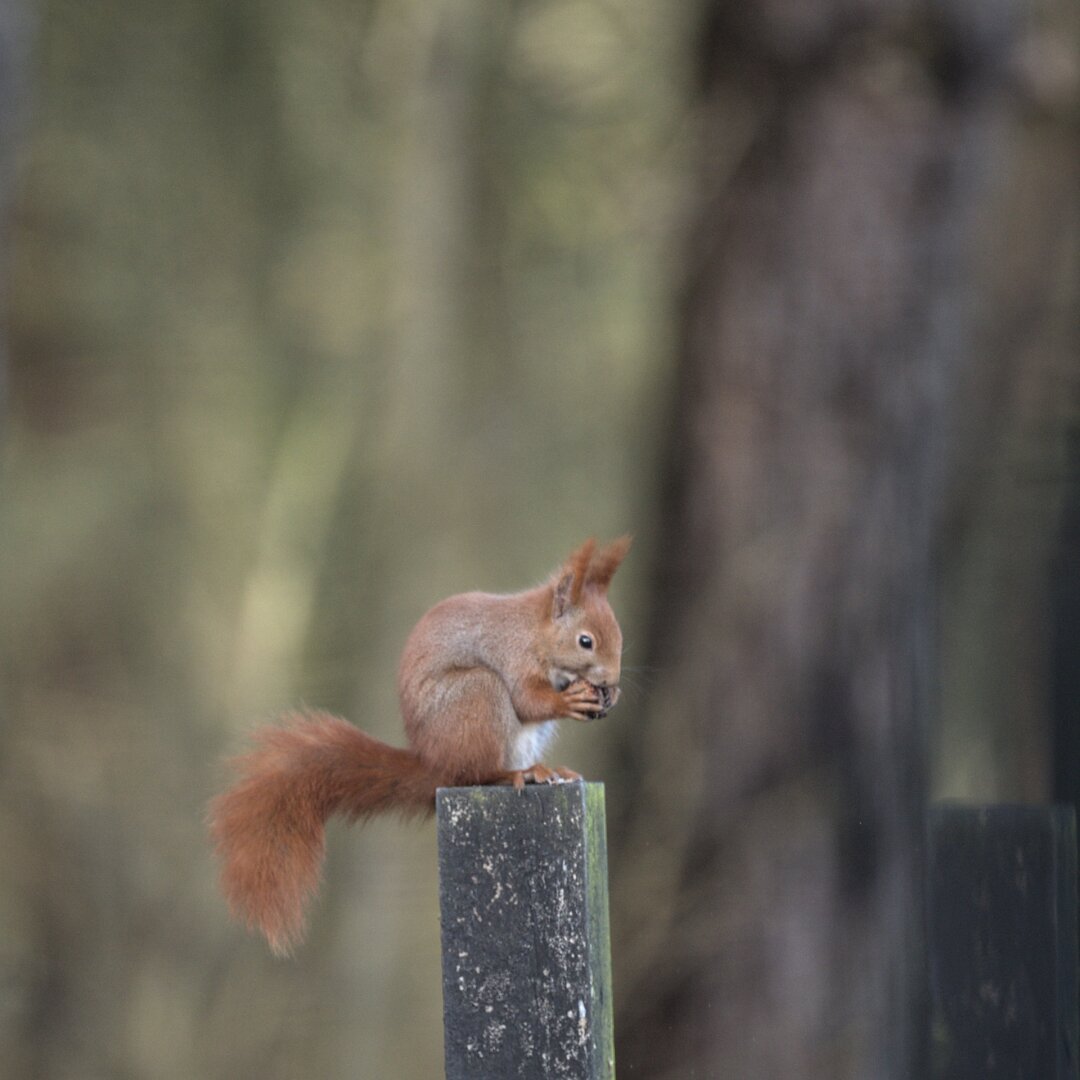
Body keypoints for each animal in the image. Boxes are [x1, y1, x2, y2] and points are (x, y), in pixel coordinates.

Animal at [207, 537, 630, 954]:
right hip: (477, 695)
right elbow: (528, 700)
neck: (536, 632)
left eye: (620, 638)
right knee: (475, 773)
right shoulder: (513, 657)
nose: (611, 679)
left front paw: (613, 696)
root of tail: (436, 763)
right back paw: (519, 773)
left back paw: (548, 771)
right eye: (586, 641)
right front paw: (569, 701)